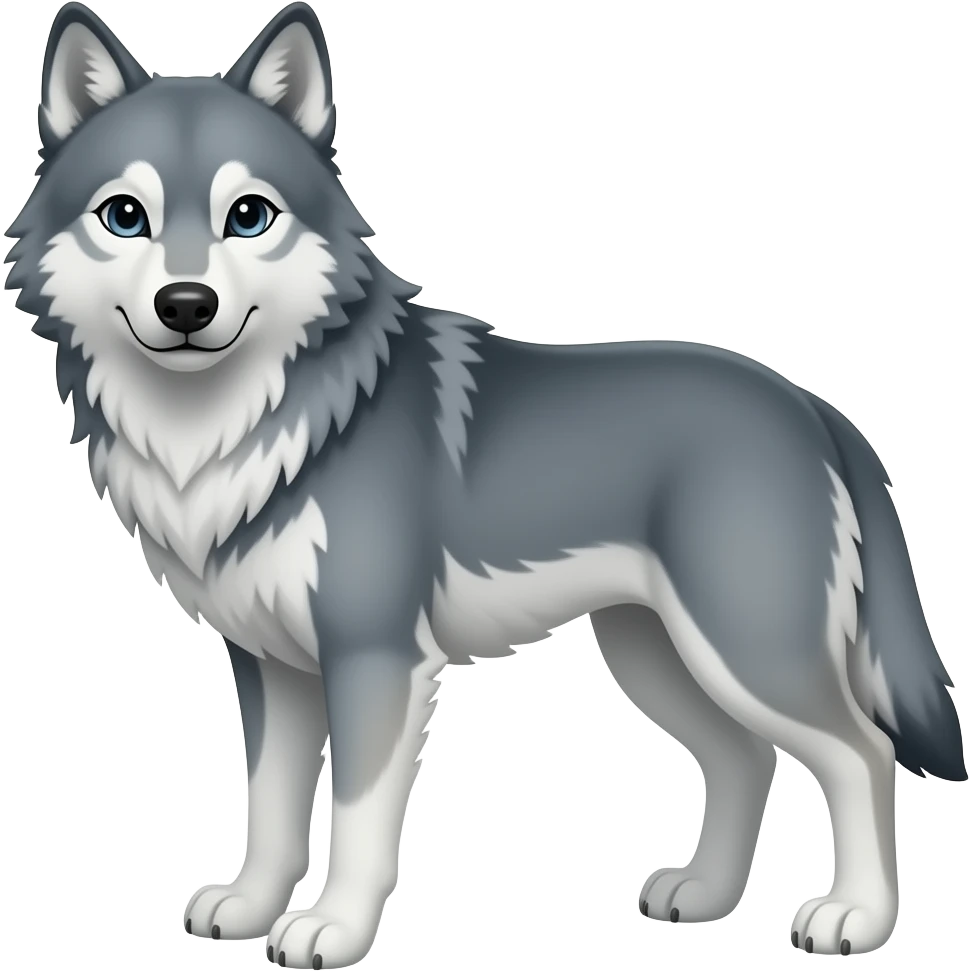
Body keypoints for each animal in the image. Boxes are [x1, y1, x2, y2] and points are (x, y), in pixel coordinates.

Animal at [3, 1, 966, 967]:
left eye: (248, 216)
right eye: (125, 216)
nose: (186, 305)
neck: (235, 428)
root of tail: (810, 404)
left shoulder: (375, 658)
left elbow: (354, 816)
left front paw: (332, 927)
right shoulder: (270, 665)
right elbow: (269, 809)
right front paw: (247, 909)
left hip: (746, 651)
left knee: (861, 751)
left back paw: (854, 916)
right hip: (655, 654)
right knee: (744, 758)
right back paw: (702, 894)